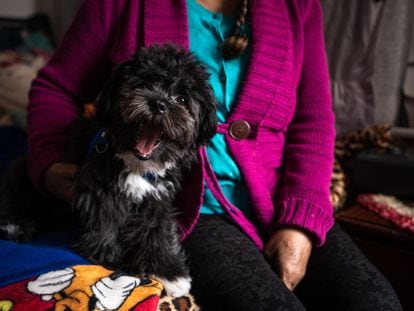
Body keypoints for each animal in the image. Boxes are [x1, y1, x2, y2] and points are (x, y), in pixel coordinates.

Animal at [0, 45, 218, 298]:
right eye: (143, 83)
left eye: (182, 98)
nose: (159, 104)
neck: (135, 165)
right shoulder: (99, 190)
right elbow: (106, 221)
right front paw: (112, 262)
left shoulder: (157, 197)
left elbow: (159, 230)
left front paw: (169, 270)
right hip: (22, 174)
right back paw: (13, 225)